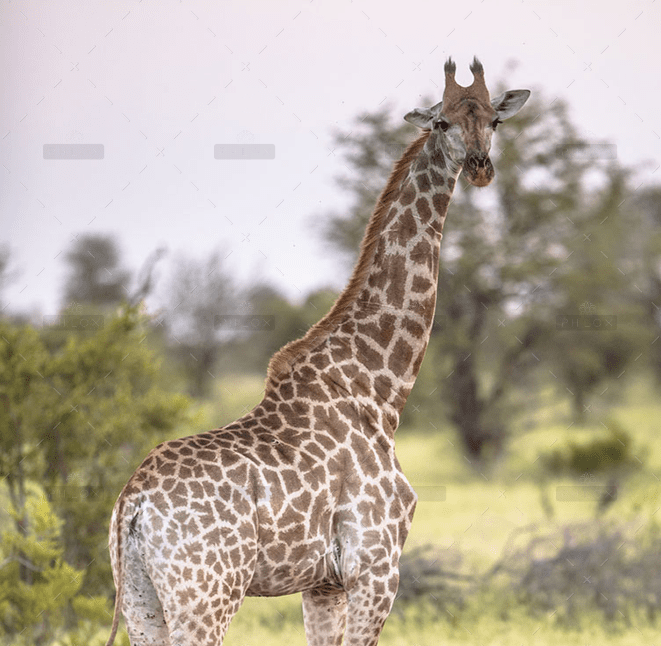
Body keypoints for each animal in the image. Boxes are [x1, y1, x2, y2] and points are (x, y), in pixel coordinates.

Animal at [106, 57, 529, 646]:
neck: (378, 389)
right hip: (206, 595)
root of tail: (134, 502)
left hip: (141, 599)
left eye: (494, 120)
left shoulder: (321, 583)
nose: (479, 167)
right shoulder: (376, 566)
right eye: (442, 122)